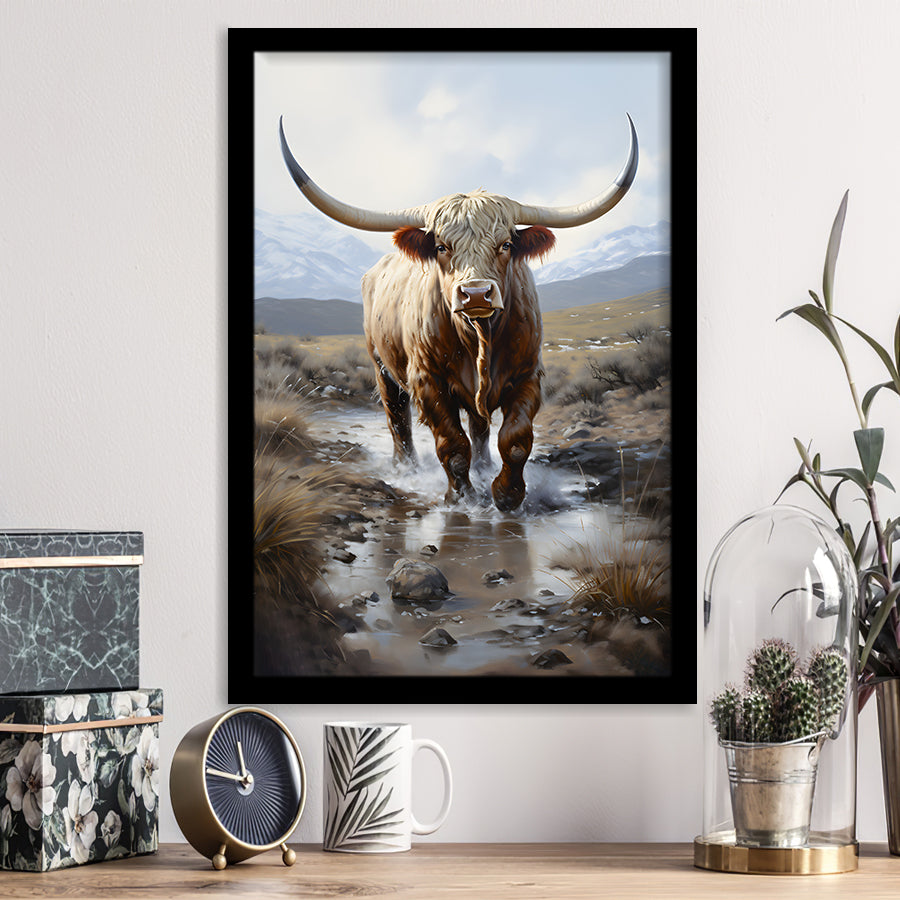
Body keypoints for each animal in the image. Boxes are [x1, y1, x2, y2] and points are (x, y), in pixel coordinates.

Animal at [279, 116, 638, 511]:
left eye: (506, 244)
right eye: (441, 247)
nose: (476, 293)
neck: (478, 336)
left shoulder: (528, 375)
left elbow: (515, 439)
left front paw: (506, 494)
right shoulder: (428, 381)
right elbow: (452, 445)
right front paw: (461, 497)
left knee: (479, 427)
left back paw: (483, 467)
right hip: (382, 367)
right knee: (397, 419)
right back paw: (406, 468)